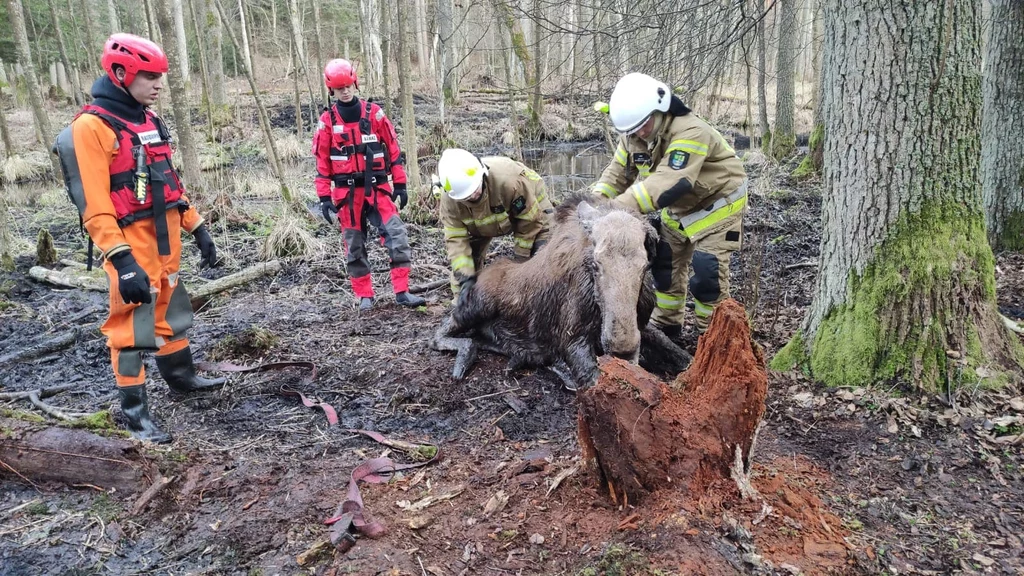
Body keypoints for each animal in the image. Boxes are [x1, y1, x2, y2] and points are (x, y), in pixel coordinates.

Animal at [428, 193, 692, 389]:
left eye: (645, 265)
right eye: (596, 264)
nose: (622, 348)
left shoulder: (643, 324)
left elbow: (679, 353)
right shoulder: (573, 339)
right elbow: (594, 379)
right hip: (477, 305)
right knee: (441, 332)